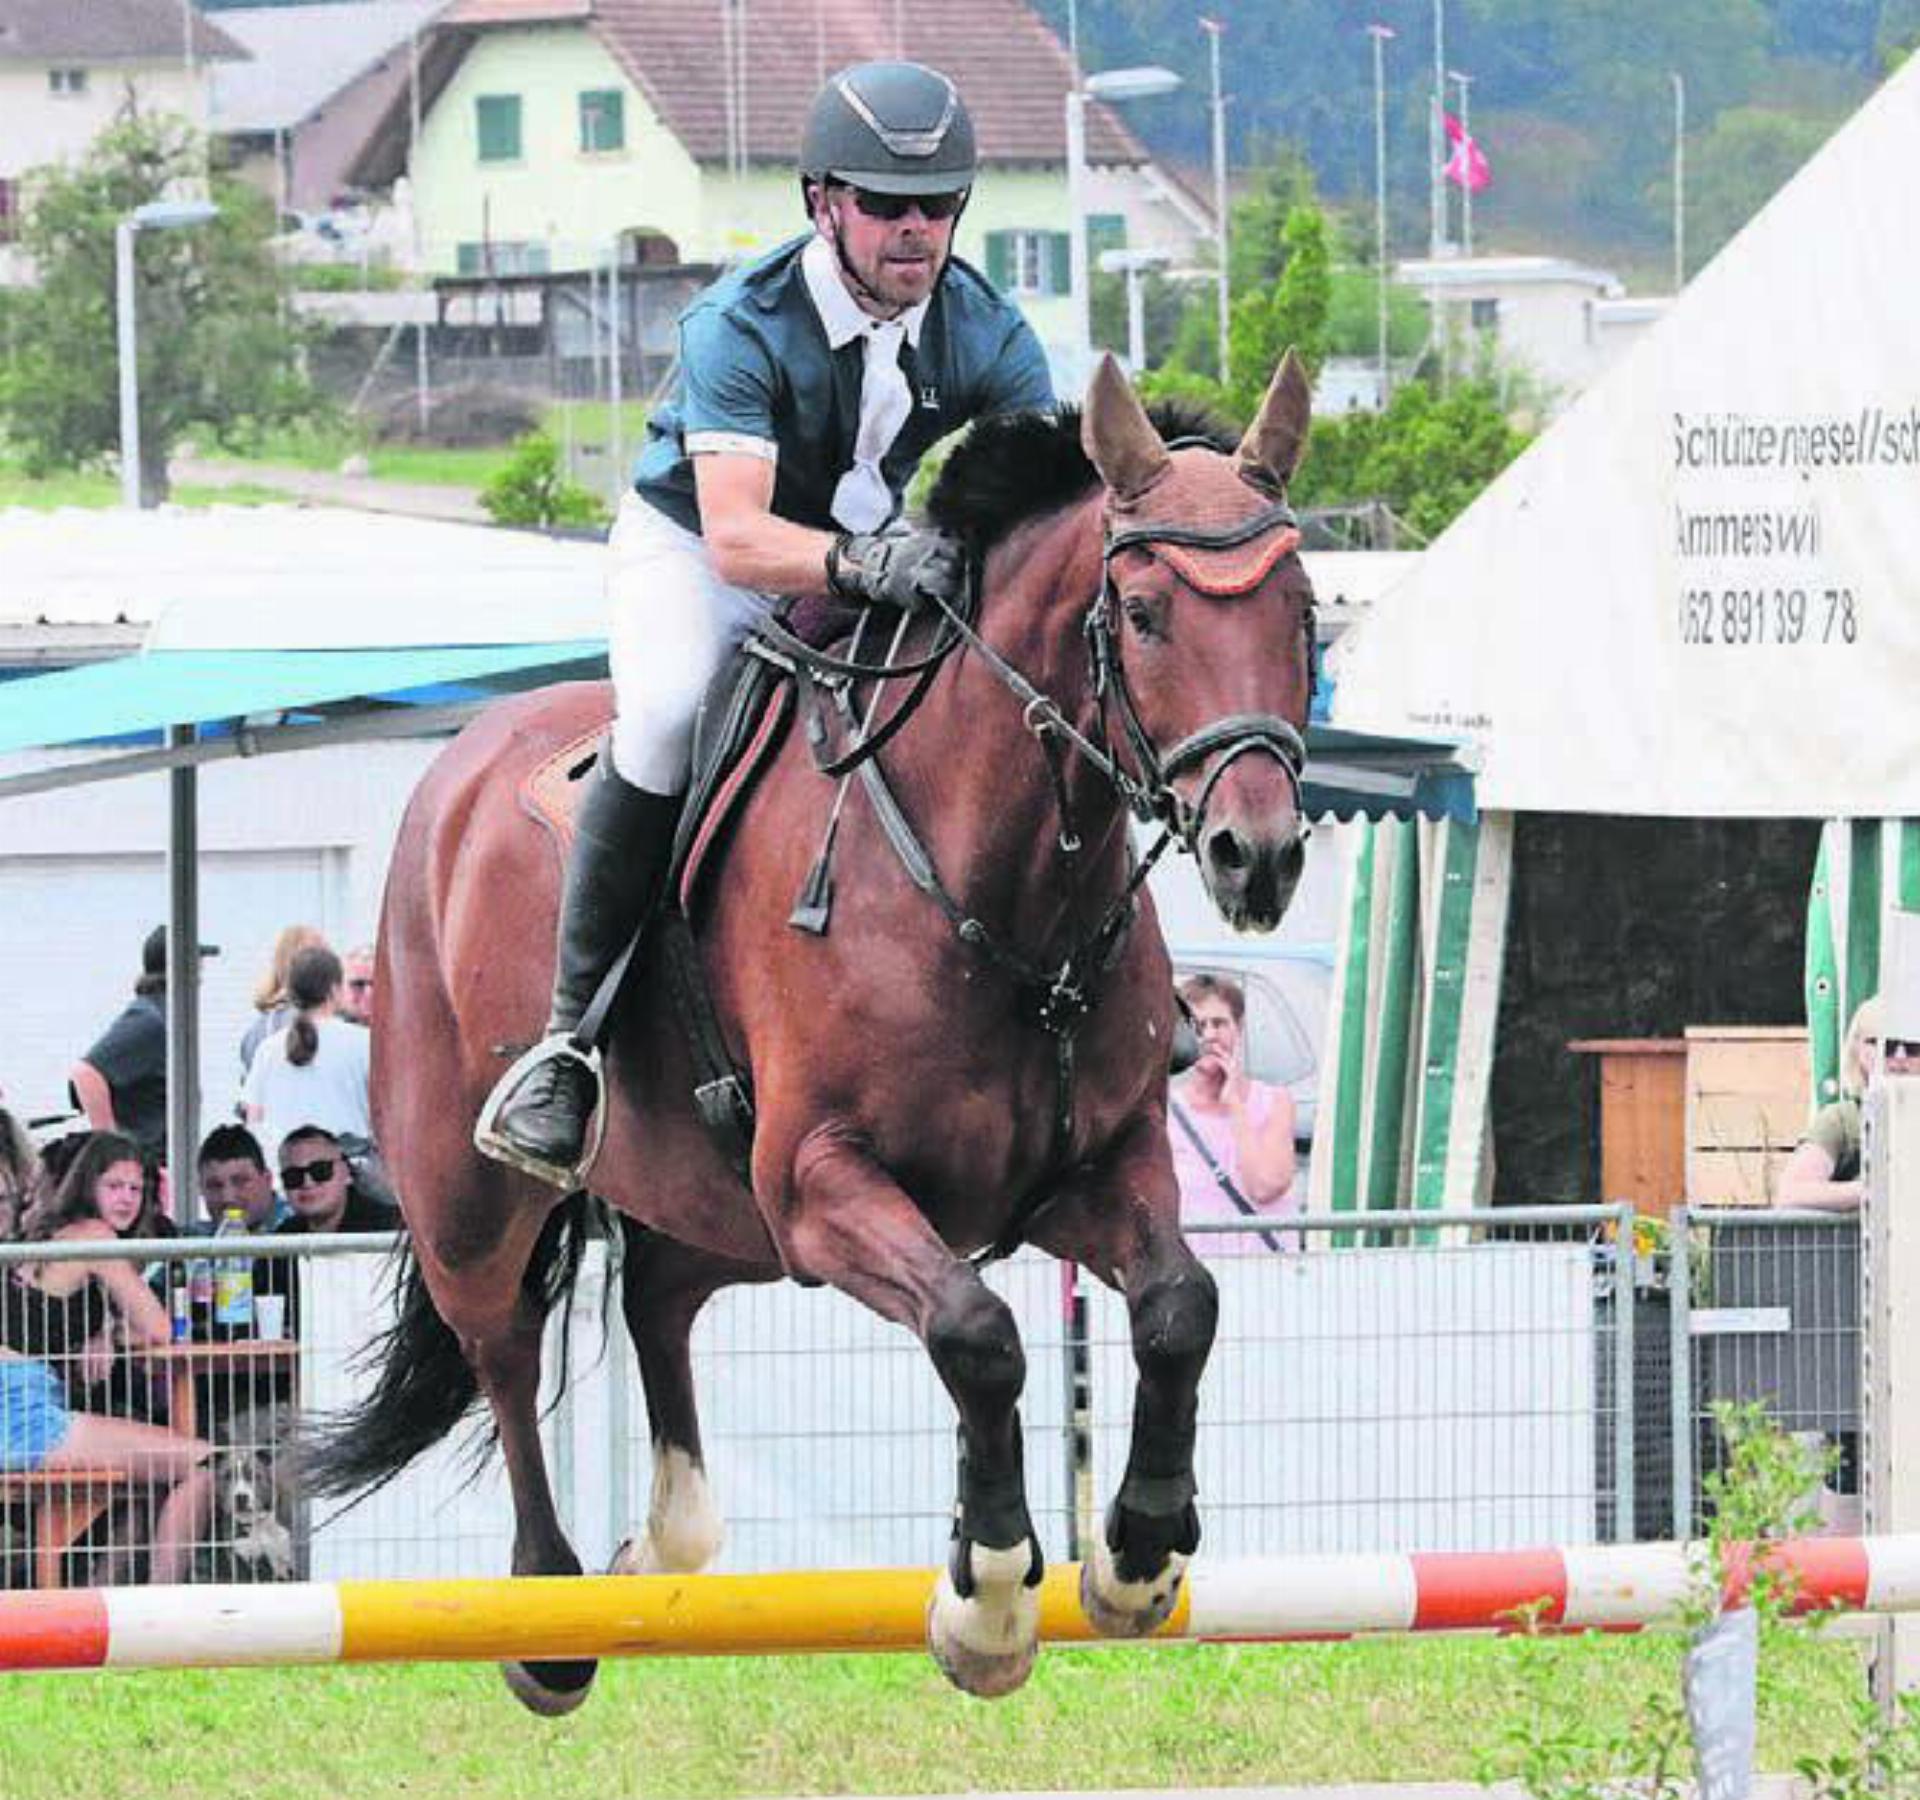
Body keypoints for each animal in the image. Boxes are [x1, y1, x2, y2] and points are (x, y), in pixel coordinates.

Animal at [314, 351, 1328, 1711]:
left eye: (1304, 613)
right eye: (1146, 612)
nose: (1256, 855)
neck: (1004, 888)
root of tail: (453, 773)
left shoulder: (1092, 1171)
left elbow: (1179, 1306)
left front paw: (1135, 1555)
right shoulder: (822, 1179)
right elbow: (979, 1335)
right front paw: (989, 1596)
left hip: (720, 1204)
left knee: (659, 1299)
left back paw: (662, 1546)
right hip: (471, 1188)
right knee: (507, 1349)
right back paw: (549, 1618)